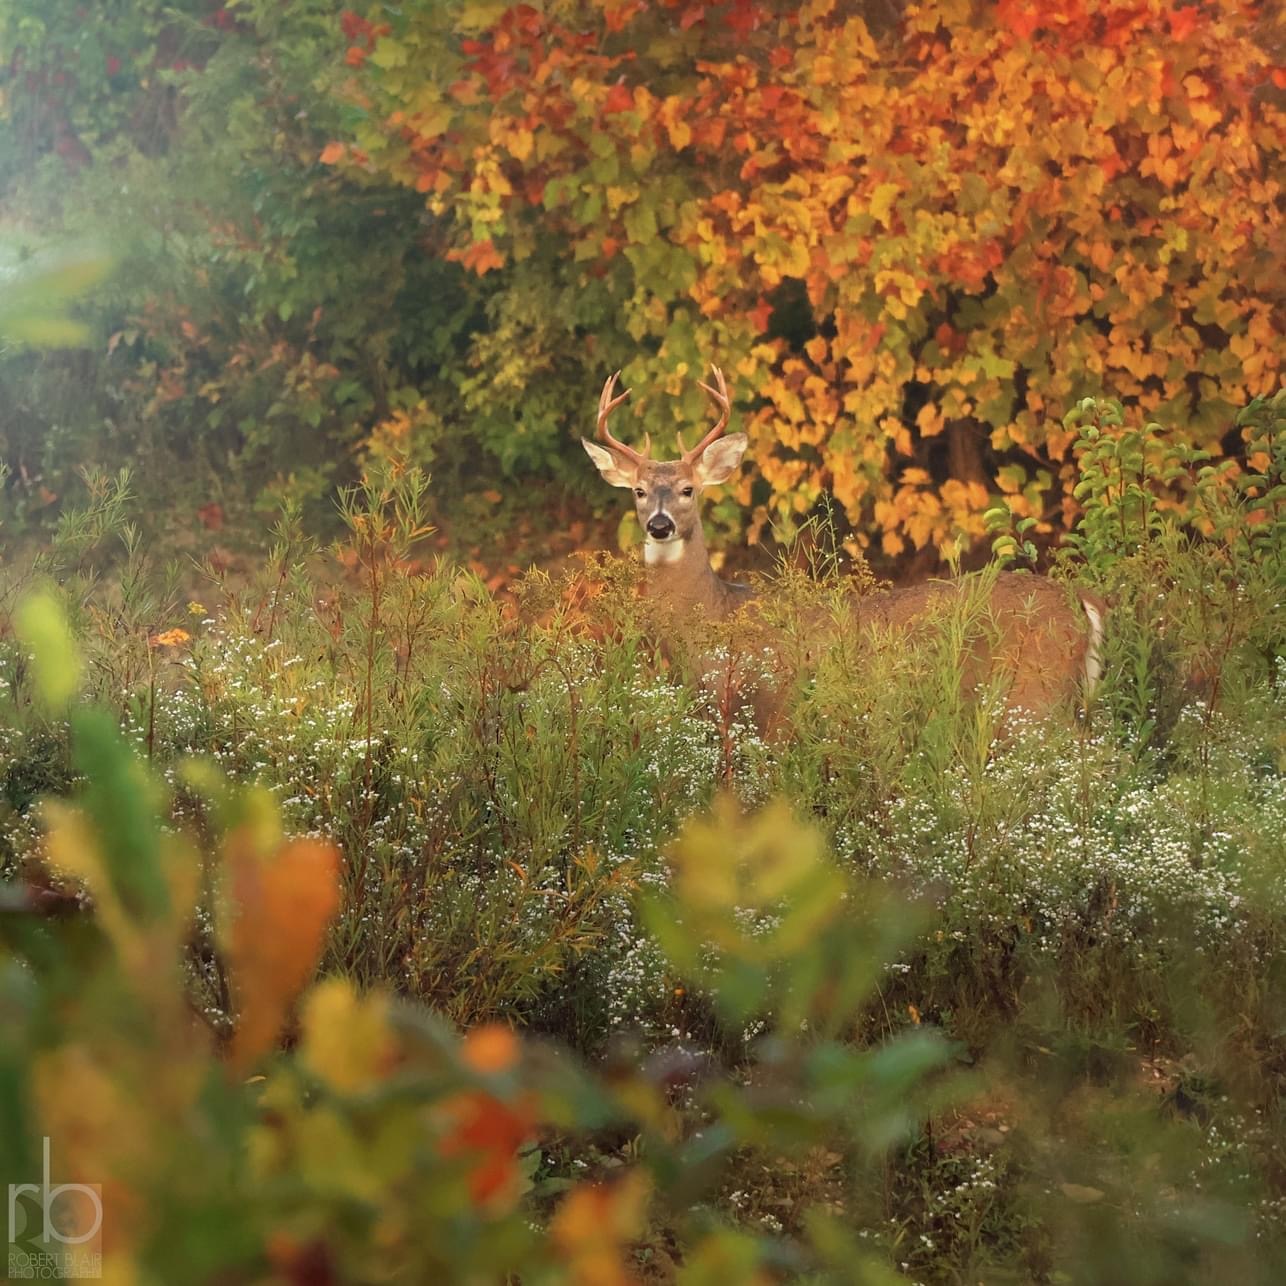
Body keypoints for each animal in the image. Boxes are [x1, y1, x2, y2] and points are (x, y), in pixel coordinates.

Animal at [586, 367, 1105, 720]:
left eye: (689, 489)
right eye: (638, 491)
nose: (659, 525)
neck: (717, 615)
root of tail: (1082, 600)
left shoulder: (773, 704)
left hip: (1034, 695)